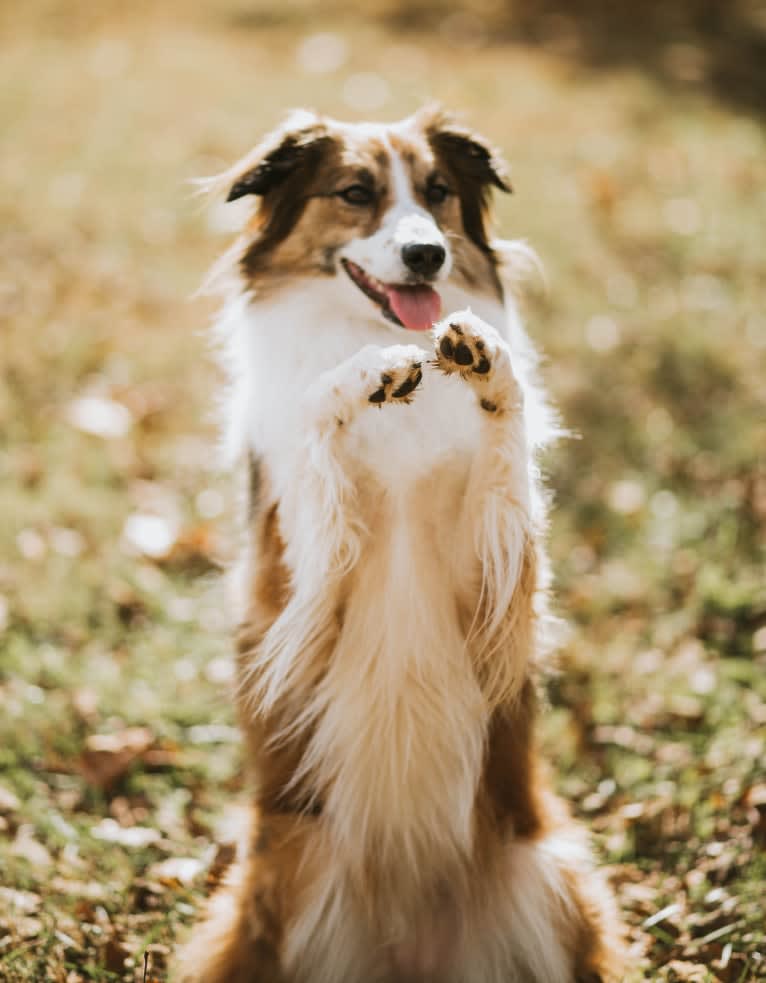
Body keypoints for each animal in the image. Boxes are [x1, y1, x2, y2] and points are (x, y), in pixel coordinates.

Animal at [177, 107, 628, 983]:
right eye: (355, 193)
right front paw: (358, 379)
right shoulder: (300, 585)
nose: (428, 254)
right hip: (282, 884)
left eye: (439, 191)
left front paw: (492, 368)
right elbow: (319, 426)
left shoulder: (493, 580)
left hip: (552, 873)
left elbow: (507, 467)